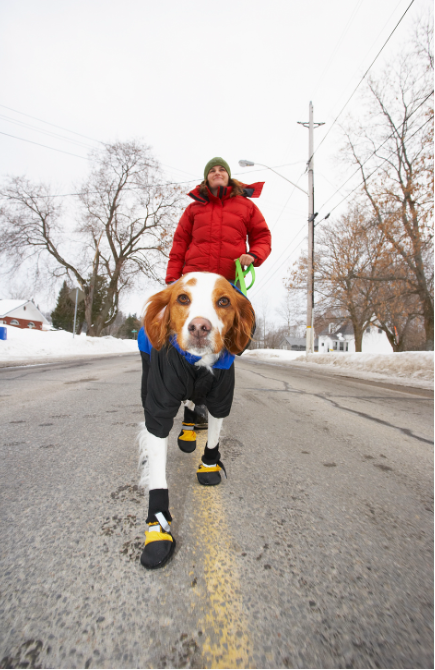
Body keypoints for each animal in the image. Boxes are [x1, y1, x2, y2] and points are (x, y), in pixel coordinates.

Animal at [139, 272, 255, 572]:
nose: (200, 327)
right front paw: (158, 529)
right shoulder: (160, 405)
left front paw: (209, 465)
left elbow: (213, 439)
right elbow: (157, 471)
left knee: (192, 405)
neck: (197, 366)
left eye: (224, 301)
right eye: (182, 298)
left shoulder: (222, 396)